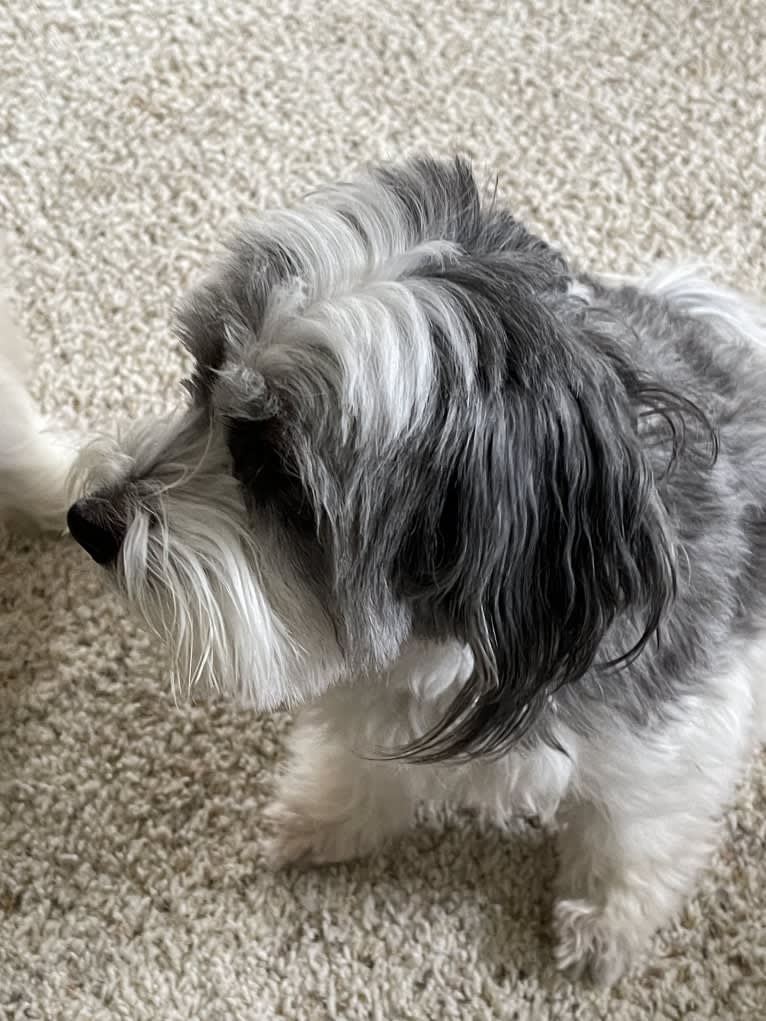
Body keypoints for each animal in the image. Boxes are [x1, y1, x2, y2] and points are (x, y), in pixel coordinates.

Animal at [65, 157, 766, 980]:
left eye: (276, 469)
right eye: (202, 376)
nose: (89, 523)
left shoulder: (671, 728)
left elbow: (632, 827)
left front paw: (606, 921)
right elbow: (360, 764)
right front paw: (324, 816)